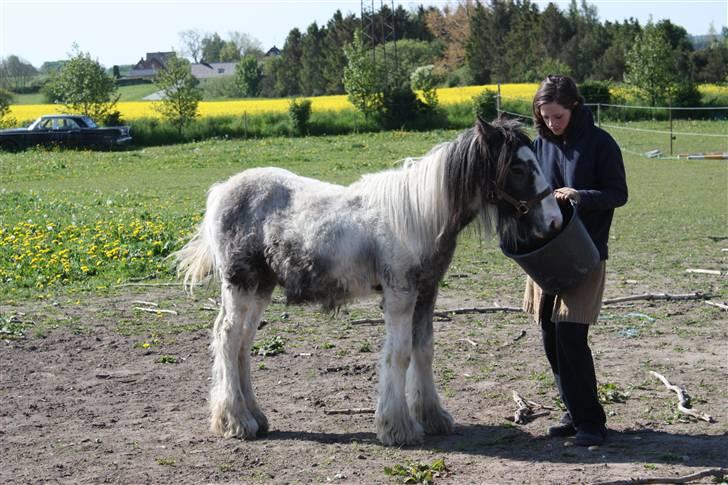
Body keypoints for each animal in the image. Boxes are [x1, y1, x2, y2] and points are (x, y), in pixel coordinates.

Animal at [175, 116, 564, 442]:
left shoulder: (427, 293)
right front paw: (398, 427)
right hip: (241, 286)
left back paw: (254, 417)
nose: (555, 220)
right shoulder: (399, 295)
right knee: (227, 338)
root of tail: (221, 191)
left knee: (243, 342)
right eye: (518, 166)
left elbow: (424, 350)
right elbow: (400, 353)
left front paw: (433, 417)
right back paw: (236, 421)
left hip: (261, 288)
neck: (420, 215)